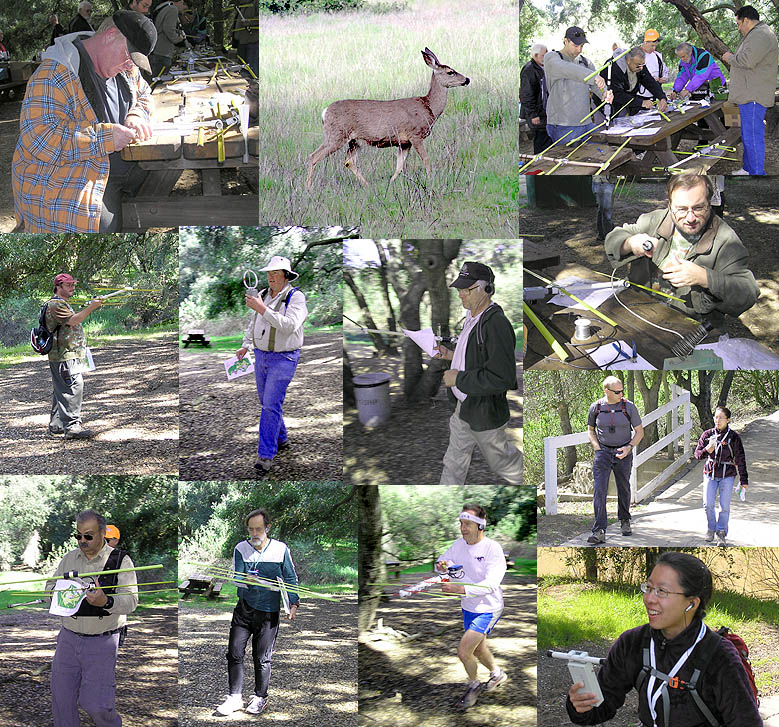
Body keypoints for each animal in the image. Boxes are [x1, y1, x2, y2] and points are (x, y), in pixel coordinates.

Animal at [306, 48, 472, 189]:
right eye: (450, 72)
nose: (467, 79)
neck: (429, 107)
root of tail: (324, 112)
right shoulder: (415, 135)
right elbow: (426, 159)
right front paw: (431, 180)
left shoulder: (404, 142)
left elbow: (399, 166)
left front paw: (391, 183)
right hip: (336, 135)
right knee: (313, 156)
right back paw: (308, 187)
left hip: (354, 141)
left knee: (348, 161)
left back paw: (367, 185)